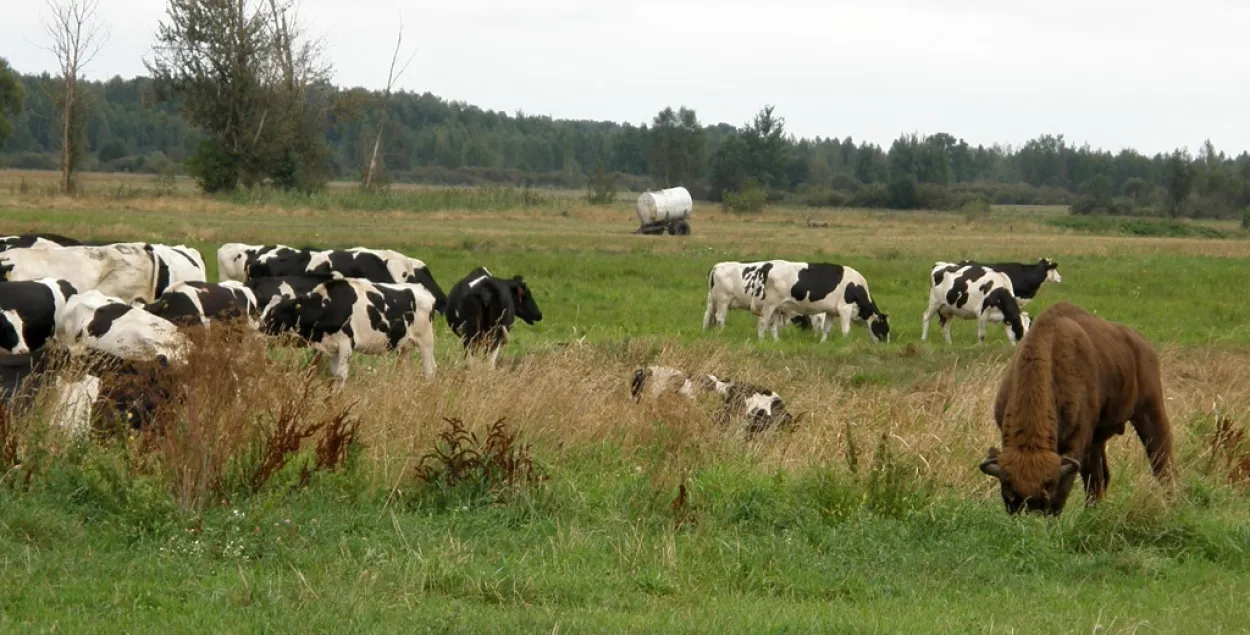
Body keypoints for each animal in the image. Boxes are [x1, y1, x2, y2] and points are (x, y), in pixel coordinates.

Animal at [258, 280, 440, 390]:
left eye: (275, 314)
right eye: (265, 311)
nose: (257, 329)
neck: (328, 307)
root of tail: (422, 289)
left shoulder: (346, 345)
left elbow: (341, 376)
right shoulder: (330, 347)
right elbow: (334, 375)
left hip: (426, 341)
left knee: (430, 370)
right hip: (405, 346)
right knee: (407, 371)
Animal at [750, 260, 890, 342]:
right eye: (885, 328)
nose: (885, 345)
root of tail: (769, 266)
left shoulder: (832, 311)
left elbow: (826, 329)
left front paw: (822, 343)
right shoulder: (845, 309)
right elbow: (846, 330)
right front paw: (846, 344)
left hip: (778, 307)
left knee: (773, 325)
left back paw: (776, 341)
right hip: (770, 304)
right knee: (762, 322)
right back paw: (761, 342)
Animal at [980, 302, 1175, 515]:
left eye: (1049, 487)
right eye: (1009, 491)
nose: (1031, 511)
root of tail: (1143, 345)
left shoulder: (1077, 445)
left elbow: (1070, 490)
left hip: (1150, 412)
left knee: (1162, 464)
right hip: (1099, 438)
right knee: (1103, 476)